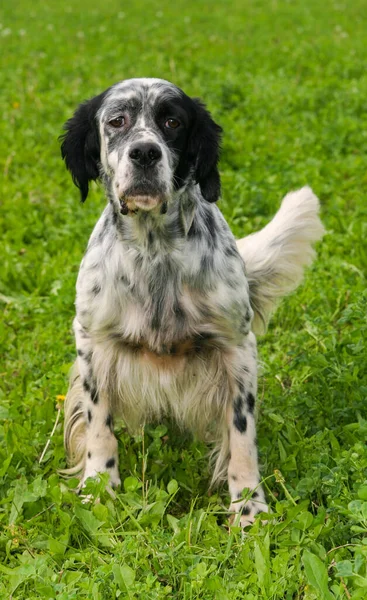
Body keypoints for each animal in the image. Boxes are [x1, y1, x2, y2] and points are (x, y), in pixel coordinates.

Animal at [61, 76, 324, 524]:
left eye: (172, 121)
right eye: (117, 120)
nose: (144, 153)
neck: (155, 253)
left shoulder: (237, 348)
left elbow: (241, 438)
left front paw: (248, 509)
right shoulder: (92, 340)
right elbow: (99, 427)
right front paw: (99, 491)